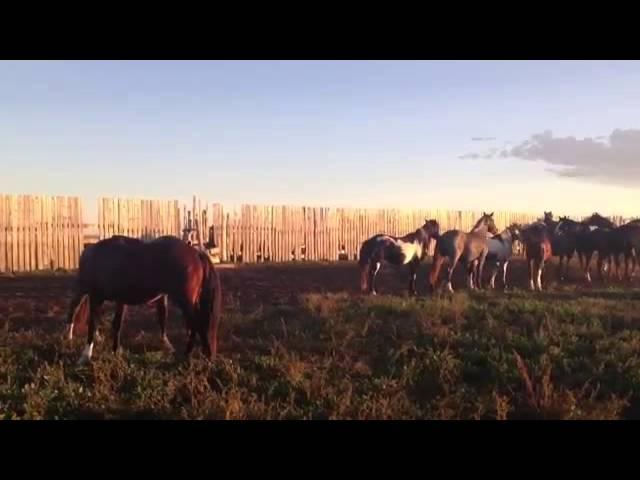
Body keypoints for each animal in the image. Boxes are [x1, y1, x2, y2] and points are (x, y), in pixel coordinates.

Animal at [63, 235, 221, 364]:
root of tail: (195, 253)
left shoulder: (101, 298)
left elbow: (99, 324)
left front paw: (87, 356)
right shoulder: (112, 299)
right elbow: (112, 325)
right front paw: (113, 352)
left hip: (185, 301)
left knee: (196, 325)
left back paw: (193, 355)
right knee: (73, 307)